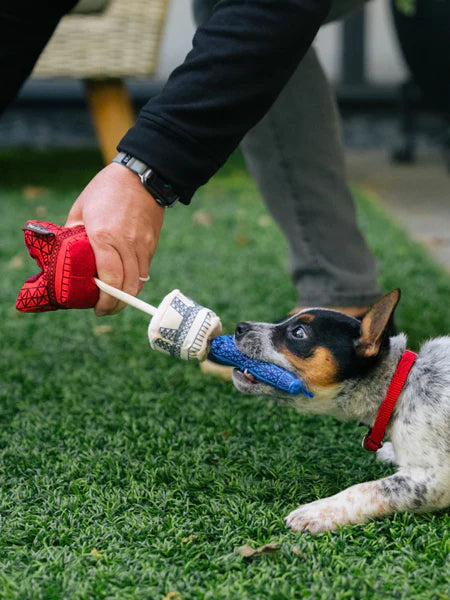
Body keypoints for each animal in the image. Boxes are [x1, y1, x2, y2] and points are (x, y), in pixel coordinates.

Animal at [232, 290, 450, 536]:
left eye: (299, 332)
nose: (239, 327)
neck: (400, 385)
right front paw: (391, 452)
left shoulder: (431, 481)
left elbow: (365, 490)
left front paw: (315, 512)